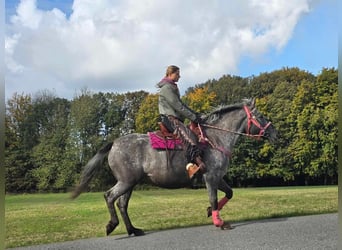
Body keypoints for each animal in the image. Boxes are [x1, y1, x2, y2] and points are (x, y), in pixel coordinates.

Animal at [71, 97, 276, 236]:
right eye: (261, 116)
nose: (275, 133)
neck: (215, 139)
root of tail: (114, 143)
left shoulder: (218, 177)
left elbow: (229, 193)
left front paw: (210, 213)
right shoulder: (210, 177)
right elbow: (214, 198)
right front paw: (219, 222)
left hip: (129, 183)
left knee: (122, 203)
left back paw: (133, 229)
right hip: (126, 182)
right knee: (109, 196)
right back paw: (112, 225)